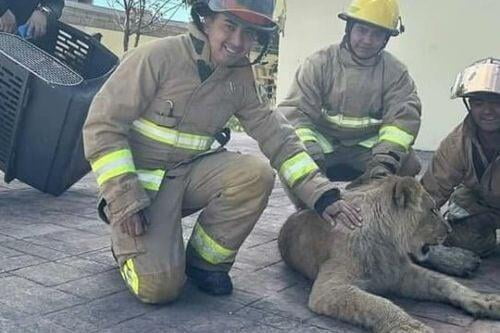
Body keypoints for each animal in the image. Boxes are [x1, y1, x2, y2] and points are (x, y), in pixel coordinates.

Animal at [280, 175, 500, 330]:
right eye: (432, 210)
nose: (449, 229)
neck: (388, 243)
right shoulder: (329, 289)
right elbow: (379, 304)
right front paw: (414, 328)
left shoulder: (400, 273)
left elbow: (445, 283)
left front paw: (487, 301)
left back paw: (463, 260)